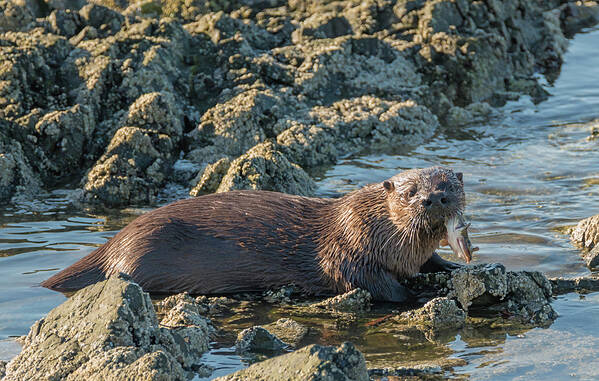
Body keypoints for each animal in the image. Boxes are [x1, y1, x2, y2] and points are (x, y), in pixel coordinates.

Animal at [43, 166, 474, 300]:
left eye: (449, 185)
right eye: (410, 191)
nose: (433, 198)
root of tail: (115, 240)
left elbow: (434, 263)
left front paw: (458, 270)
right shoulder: (347, 252)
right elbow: (376, 285)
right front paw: (416, 297)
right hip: (143, 251)